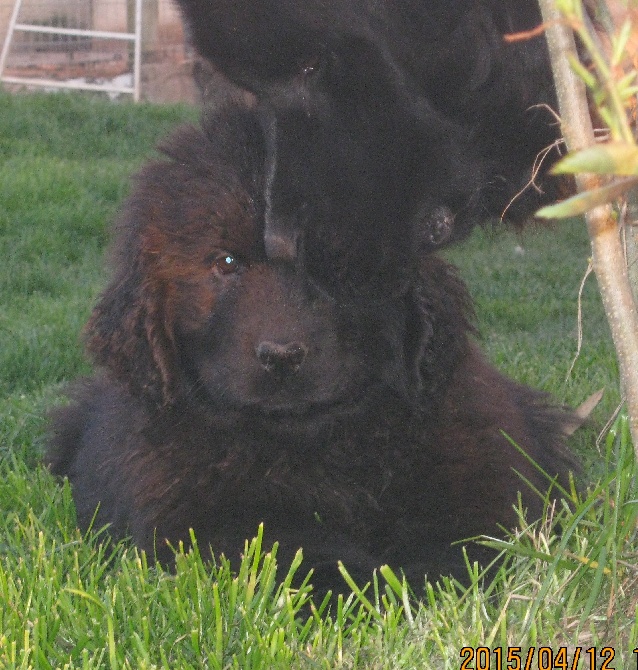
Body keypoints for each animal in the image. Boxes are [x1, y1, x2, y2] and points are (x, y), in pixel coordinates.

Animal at [48, 106, 580, 600]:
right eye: (226, 262)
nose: (282, 355)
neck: (317, 440)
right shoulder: (197, 515)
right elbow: (285, 547)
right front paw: (359, 587)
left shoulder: (483, 471)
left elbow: (461, 539)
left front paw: (420, 586)